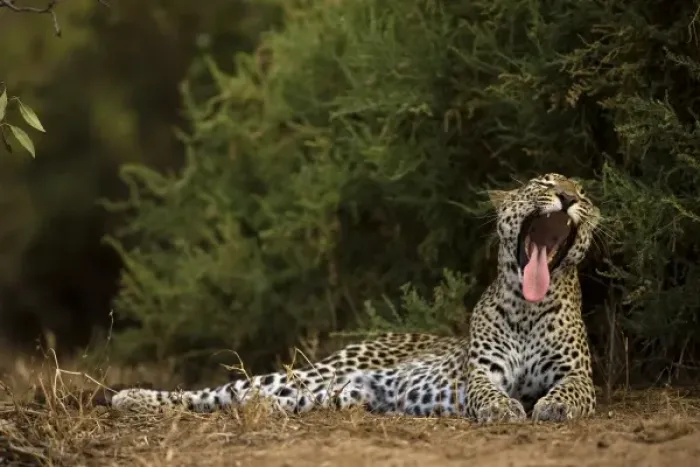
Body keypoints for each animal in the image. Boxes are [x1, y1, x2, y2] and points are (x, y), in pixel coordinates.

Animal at [108, 173, 600, 423]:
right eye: (543, 183)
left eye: (585, 192)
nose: (568, 196)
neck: (527, 306)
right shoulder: (482, 373)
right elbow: (488, 393)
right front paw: (504, 410)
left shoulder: (577, 373)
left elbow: (572, 391)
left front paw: (553, 406)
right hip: (317, 371)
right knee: (217, 391)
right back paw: (128, 398)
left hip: (334, 394)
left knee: (250, 400)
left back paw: (258, 410)